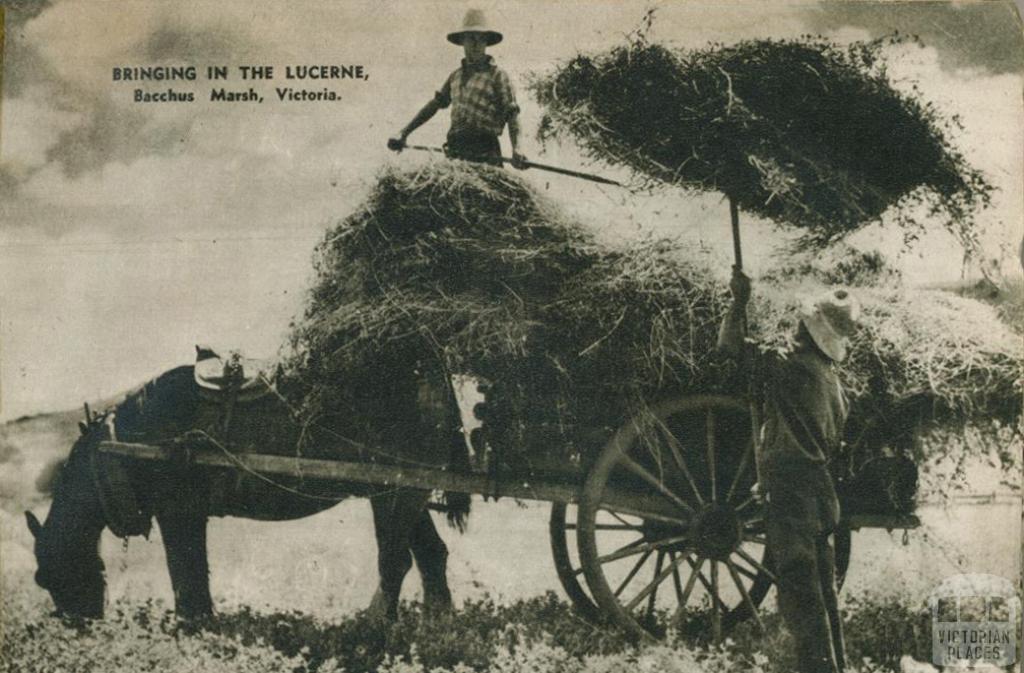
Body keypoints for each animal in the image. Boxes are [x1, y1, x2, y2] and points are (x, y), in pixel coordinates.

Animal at [24, 362, 468, 618]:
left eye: (47, 578)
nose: (82, 628)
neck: (131, 439)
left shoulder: (180, 513)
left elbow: (187, 577)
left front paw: (194, 630)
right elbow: (191, 576)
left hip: (393, 494)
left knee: (394, 561)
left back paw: (373, 629)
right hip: (406, 493)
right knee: (431, 555)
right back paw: (436, 623)